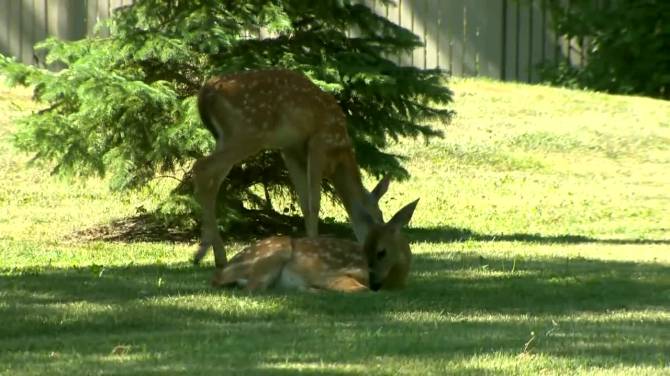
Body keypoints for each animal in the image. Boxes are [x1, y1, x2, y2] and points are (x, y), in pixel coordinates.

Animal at [192, 69, 406, 274]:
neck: (339, 155)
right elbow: (314, 204)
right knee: (201, 166)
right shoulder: (319, 142)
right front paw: (315, 249)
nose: (381, 254)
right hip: (248, 132)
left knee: (213, 180)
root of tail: (206, 93)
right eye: (379, 217)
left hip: (227, 137)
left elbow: (304, 204)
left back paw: (217, 256)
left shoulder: (290, 150)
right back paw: (204, 253)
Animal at [210, 198, 420, 292]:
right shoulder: (331, 273)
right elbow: (359, 288)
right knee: (253, 289)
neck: (395, 281)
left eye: (381, 252)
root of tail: (221, 274)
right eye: (364, 250)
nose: (375, 282)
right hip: (275, 251)